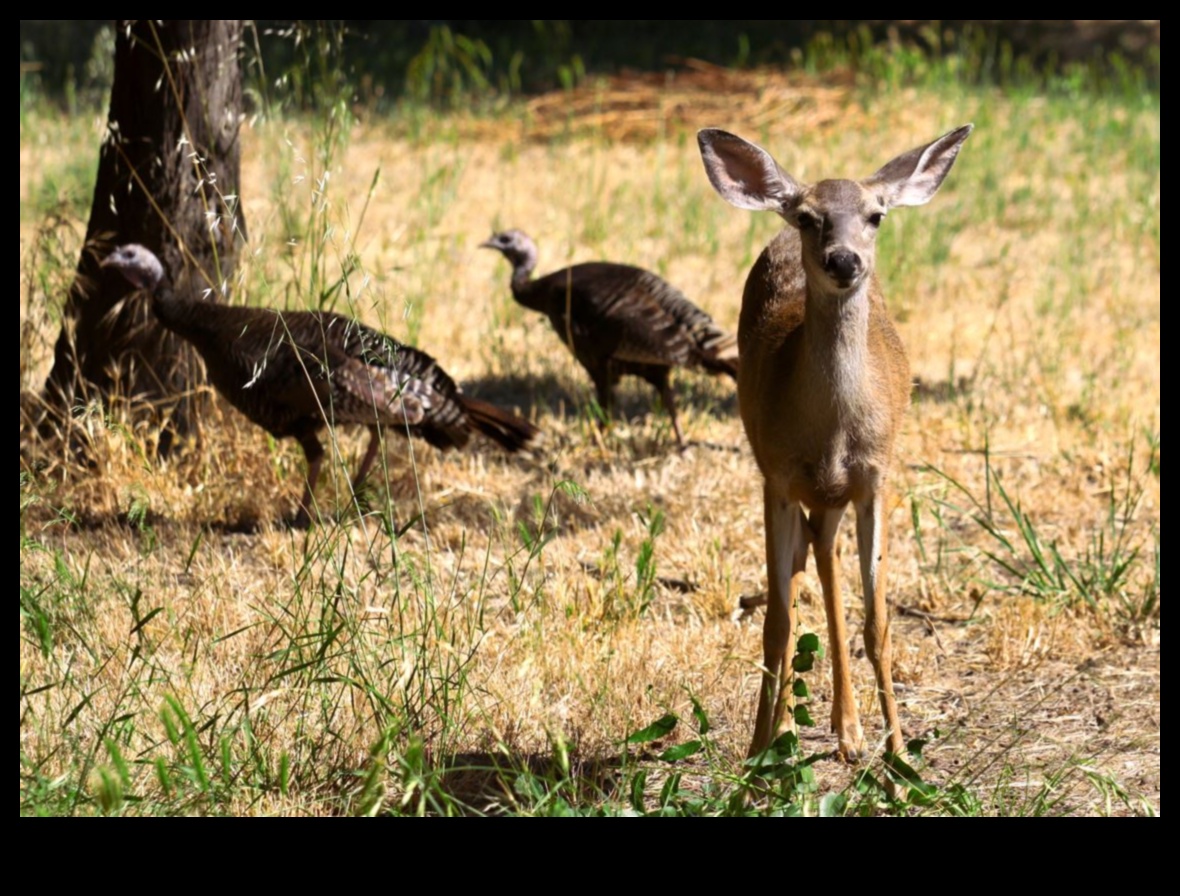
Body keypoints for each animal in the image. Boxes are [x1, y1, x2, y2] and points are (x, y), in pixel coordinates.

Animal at [693, 124, 972, 769]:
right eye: (808, 216)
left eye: (876, 215)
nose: (844, 259)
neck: (833, 432)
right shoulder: (775, 476)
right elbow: (775, 623)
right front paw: (757, 754)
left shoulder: (875, 478)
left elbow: (878, 623)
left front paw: (900, 754)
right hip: (796, 486)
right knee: (803, 572)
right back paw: (801, 730)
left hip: (835, 495)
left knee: (822, 558)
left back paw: (847, 730)